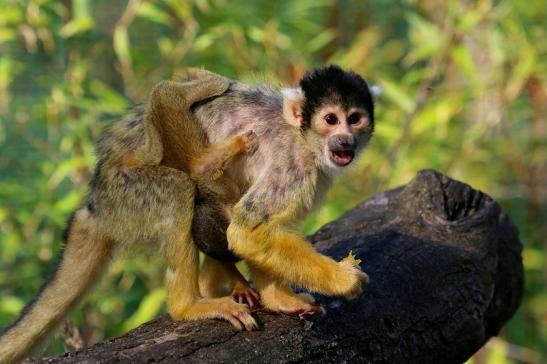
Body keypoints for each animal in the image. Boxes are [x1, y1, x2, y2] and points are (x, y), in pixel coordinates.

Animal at [0, 69, 260, 362]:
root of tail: (96, 208)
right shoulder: (220, 187)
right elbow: (166, 100)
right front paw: (209, 81)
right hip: (126, 199)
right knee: (178, 188)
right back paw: (187, 307)